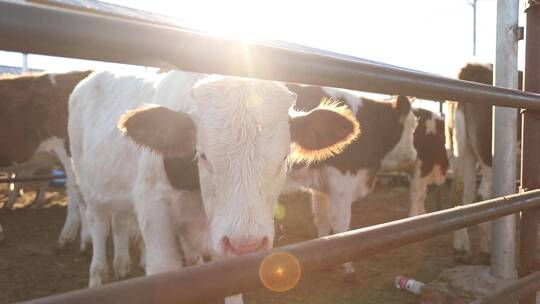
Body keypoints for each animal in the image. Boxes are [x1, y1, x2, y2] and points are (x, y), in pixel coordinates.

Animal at [68, 69, 362, 292]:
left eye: (284, 158)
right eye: (202, 155)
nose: (246, 245)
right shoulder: (154, 207)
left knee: (120, 221)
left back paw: (121, 263)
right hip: (87, 182)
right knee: (98, 224)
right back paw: (97, 275)